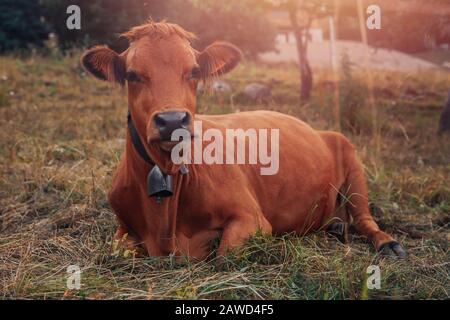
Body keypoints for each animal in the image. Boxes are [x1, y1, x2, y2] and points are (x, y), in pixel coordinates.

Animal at [79, 21, 406, 264]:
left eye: (194, 71)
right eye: (132, 75)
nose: (172, 120)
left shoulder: (253, 218)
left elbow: (224, 256)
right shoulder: (122, 229)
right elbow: (120, 250)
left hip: (352, 161)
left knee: (364, 218)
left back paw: (388, 243)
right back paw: (337, 225)